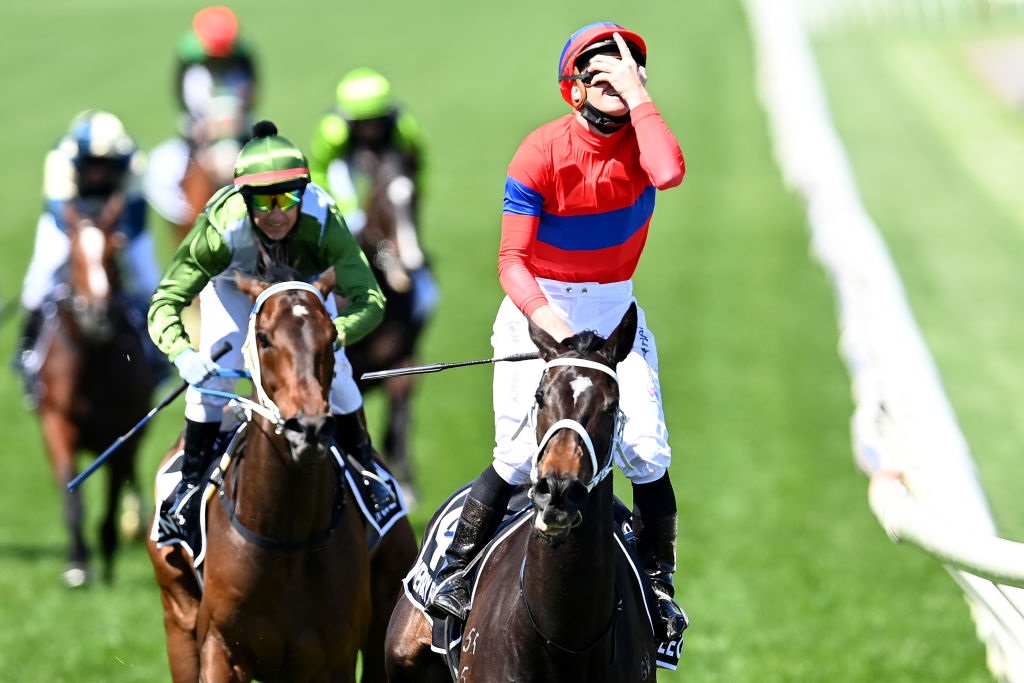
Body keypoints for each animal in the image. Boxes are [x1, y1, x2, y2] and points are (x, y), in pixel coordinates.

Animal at [35, 196, 157, 589]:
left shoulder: (124, 429)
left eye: (114, 251)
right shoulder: (57, 422)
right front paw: (78, 563)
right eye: (73, 252)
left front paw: (108, 550)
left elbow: (115, 490)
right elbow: (72, 498)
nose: (97, 314)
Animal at [146, 266, 417, 683]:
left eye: (331, 336)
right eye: (264, 337)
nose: (308, 428)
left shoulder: (334, 657)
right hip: (177, 612)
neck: (286, 537)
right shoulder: (220, 648)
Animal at [339, 149, 428, 505]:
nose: (411, 261)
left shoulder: (404, 361)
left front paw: (409, 487)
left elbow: (400, 421)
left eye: (416, 197)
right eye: (381, 199)